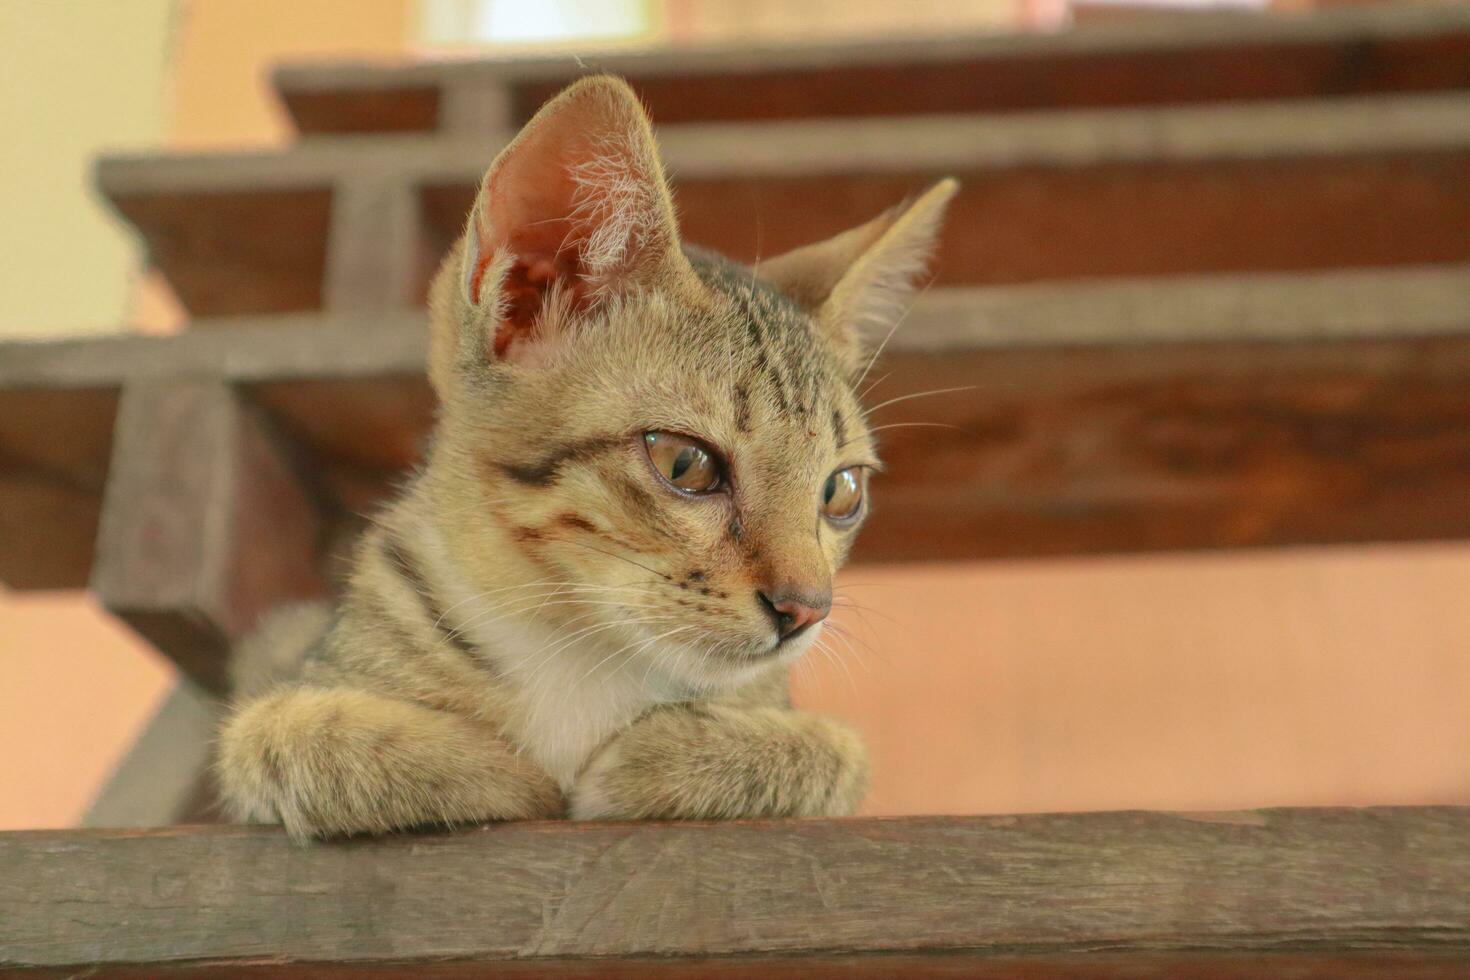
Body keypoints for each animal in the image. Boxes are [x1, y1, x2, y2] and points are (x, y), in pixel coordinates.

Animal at [214, 76, 952, 846]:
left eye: (842, 492)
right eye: (684, 464)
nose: (807, 609)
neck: (578, 649)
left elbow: (835, 748)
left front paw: (658, 759)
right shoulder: (291, 675)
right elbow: (281, 732)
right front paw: (483, 764)